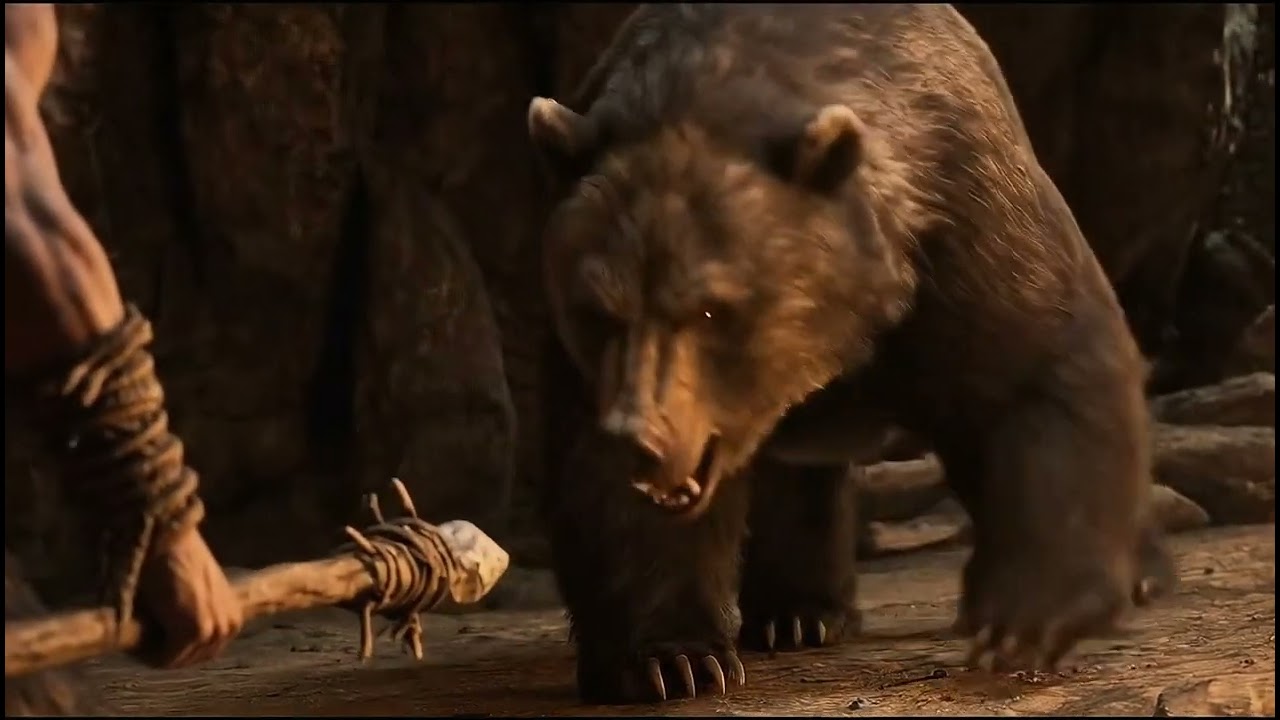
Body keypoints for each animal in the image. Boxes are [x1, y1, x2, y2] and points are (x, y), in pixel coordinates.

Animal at [528, 3, 1174, 705]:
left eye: (709, 308)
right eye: (598, 310)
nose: (640, 438)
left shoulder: (963, 217)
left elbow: (1040, 369)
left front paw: (1022, 620)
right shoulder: (594, 367)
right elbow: (602, 490)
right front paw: (674, 660)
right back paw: (797, 611)